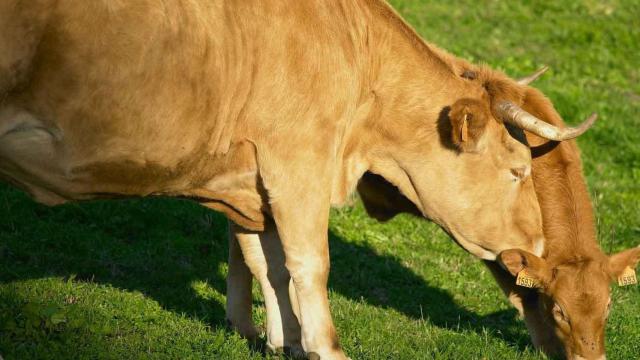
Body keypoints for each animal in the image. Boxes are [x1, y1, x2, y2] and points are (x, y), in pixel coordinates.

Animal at [0, 0, 604, 360]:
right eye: (517, 169)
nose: (535, 243)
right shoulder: (298, 166)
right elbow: (309, 265)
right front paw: (326, 348)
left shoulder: (250, 183)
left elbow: (265, 262)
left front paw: (282, 341)